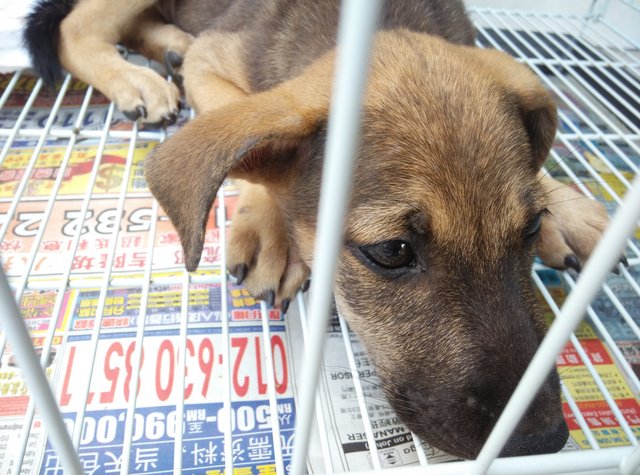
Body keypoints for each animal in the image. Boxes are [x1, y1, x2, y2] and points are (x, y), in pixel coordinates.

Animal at [25, 0, 616, 462]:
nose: (542, 441)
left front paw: (569, 212)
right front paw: (272, 228)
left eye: (531, 226)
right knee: (75, 28)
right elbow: (251, 141)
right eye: (391, 251)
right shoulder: (215, 62)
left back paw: (169, 46)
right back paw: (139, 77)